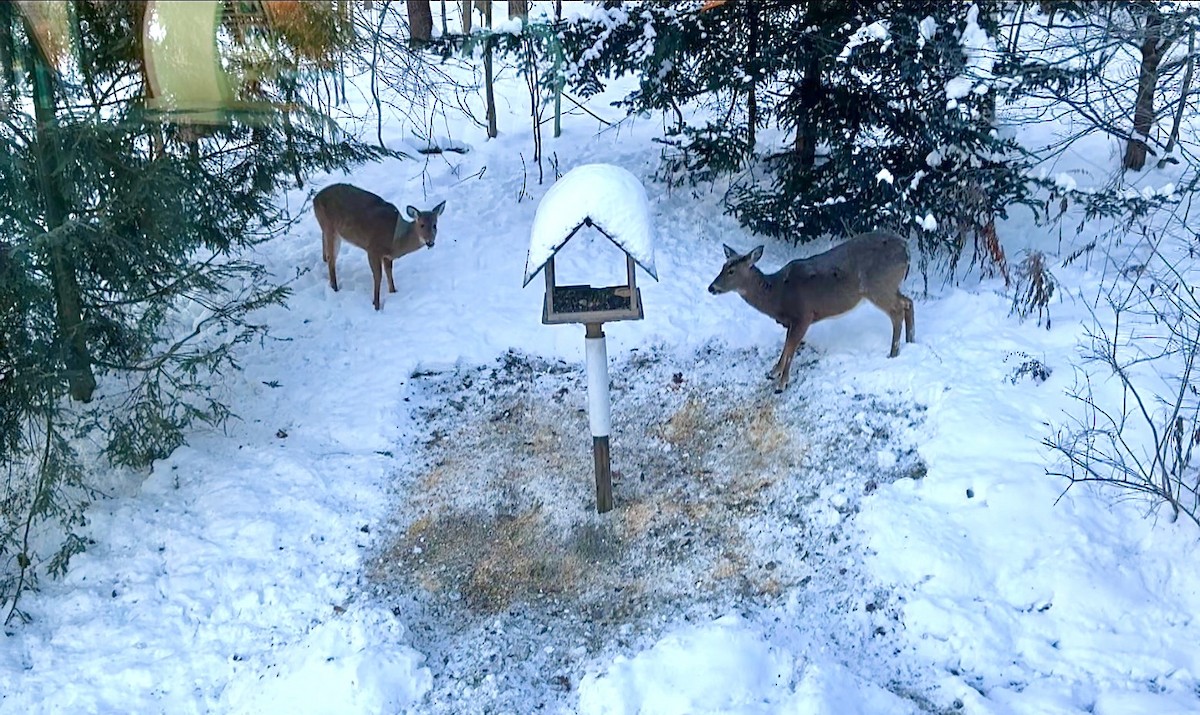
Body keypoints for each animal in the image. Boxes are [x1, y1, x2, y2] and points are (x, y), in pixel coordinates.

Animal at [312, 183, 446, 311]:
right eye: (422, 225)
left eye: (435, 225)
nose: (430, 242)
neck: (395, 239)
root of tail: (315, 199)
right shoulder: (372, 249)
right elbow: (378, 277)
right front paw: (376, 305)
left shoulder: (387, 256)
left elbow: (389, 273)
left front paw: (393, 292)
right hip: (331, 228)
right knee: (331, 258)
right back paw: (335, 288)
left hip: (328, 229)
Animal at [707, 231, 915, 392]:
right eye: (723, 266)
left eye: (732, 271)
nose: (711, 287)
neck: (778, 294)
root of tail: (906, 248)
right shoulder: (792, 320)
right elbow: (786, 345)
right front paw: (773, 372)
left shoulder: (803, 315)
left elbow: (791, 347)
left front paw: (781, 383)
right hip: (890, 286)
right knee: (908, 302)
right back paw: (911, 341)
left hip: (878, 286)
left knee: (897, 310)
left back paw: (893, 353)